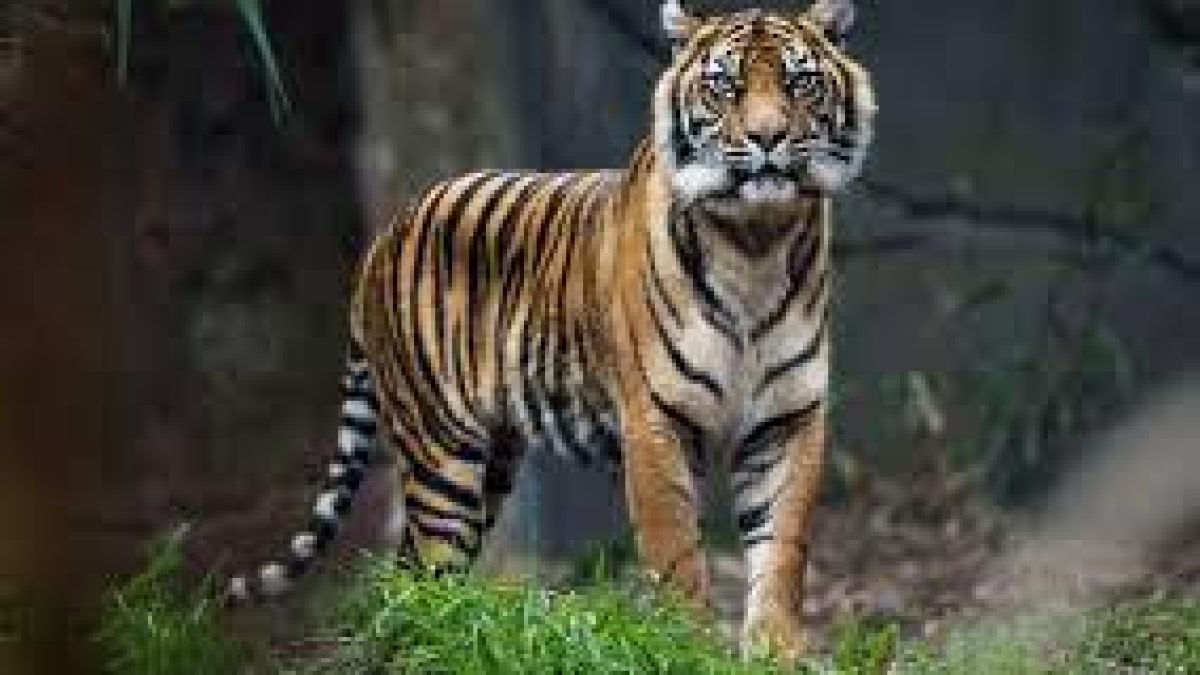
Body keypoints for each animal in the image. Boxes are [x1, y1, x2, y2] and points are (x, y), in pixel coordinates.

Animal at [228, 0, 875, 658]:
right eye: (725, 85)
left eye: (799, 82)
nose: (768, 137)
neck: (755, 242)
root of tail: (384, 236)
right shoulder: (654, 422)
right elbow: (676, 556)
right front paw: (688, 648)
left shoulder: (787, 419)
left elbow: (782, 548)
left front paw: (777, 651)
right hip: (442, 454)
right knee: (428, 568)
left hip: (492, 460)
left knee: (406, 570)